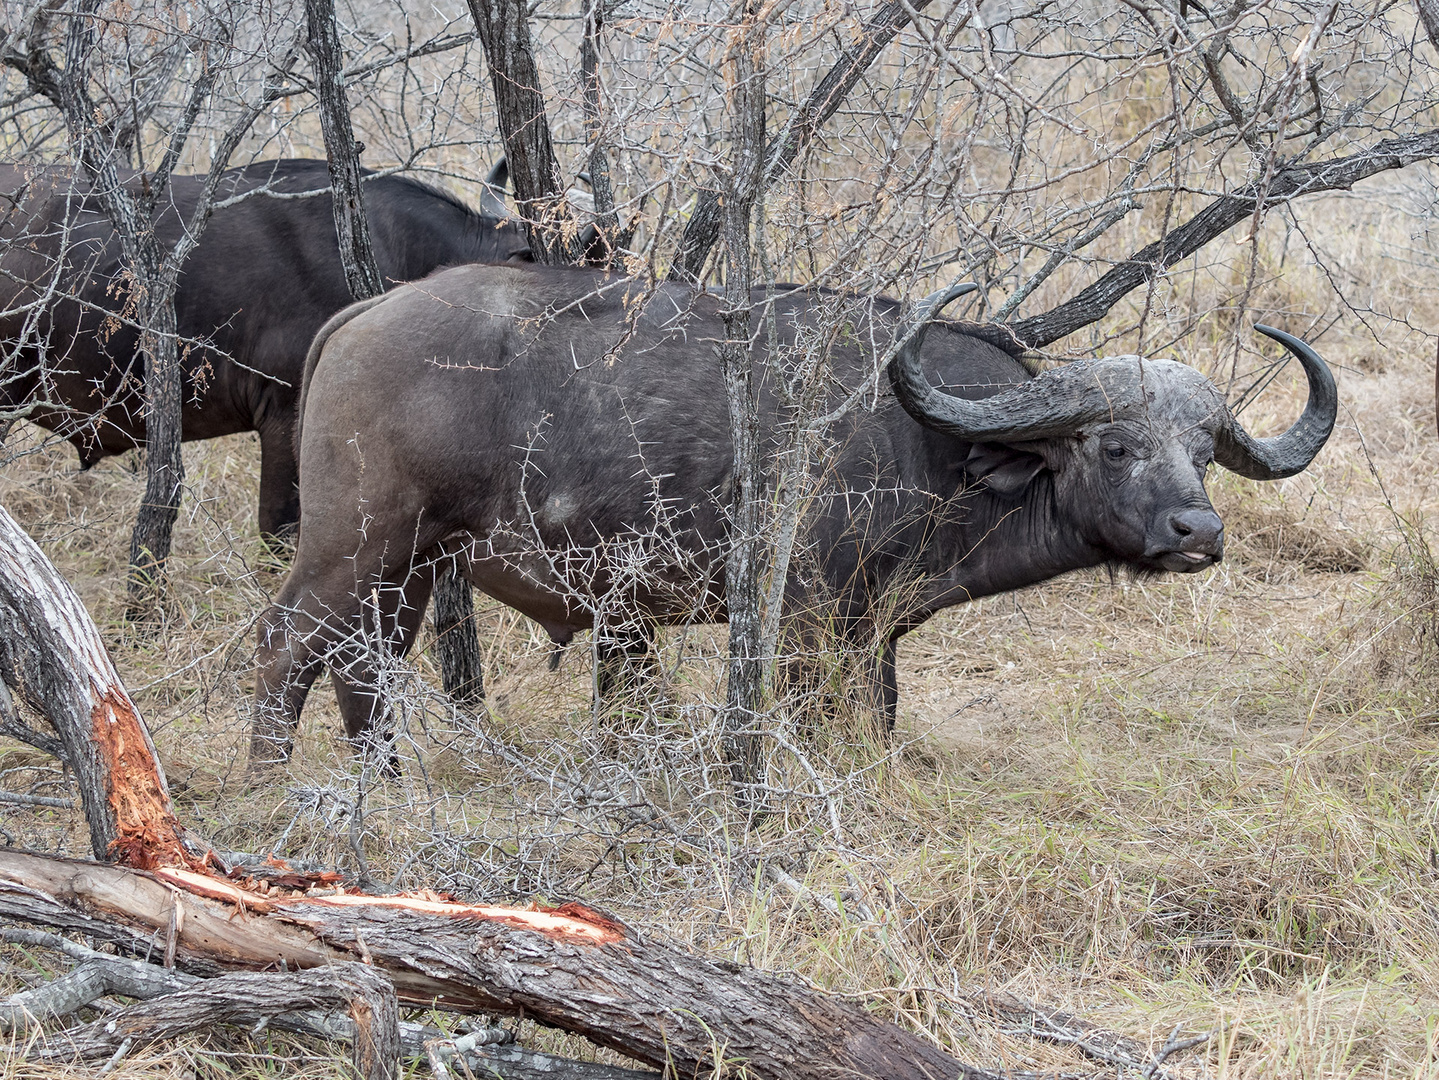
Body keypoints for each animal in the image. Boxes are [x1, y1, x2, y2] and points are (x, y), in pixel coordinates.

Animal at [250, 266, 1335, 765]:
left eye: (1203, 454)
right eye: (1113, 446)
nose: (1197, 534)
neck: (923, 437)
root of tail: (367, 314)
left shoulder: (872, 629)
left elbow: (879, 710)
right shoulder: (808, 615)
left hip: (414, 569)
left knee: (363, 665)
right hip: (355, 543)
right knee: (287, 643)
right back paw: (277, 782)